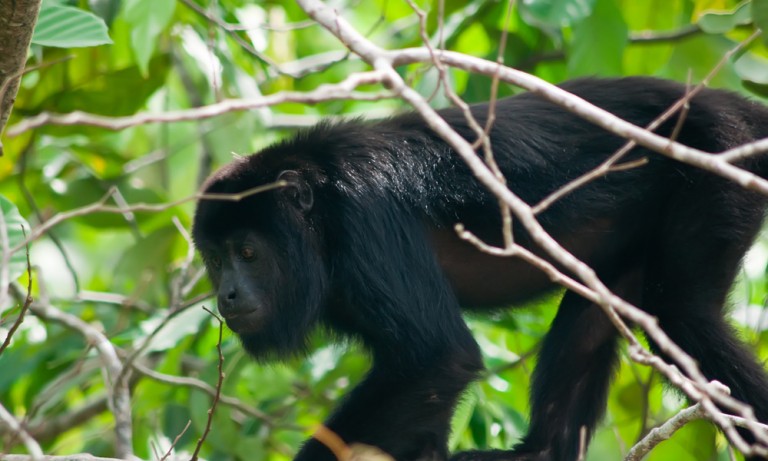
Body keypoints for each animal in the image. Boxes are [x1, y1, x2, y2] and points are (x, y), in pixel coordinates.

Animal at [194, 76, 768, 460]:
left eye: (249, 253)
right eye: (217, 259)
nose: (227, 295)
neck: (319, 218)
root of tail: (735, 107)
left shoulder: (365, 223)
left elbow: (437, 357)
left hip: (720, 162)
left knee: (681, 314)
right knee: (590, 316)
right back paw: (539, 451)